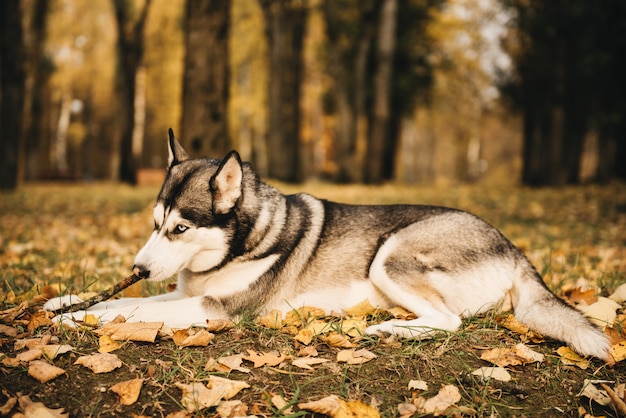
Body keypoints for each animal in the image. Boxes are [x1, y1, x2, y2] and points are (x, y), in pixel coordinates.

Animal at [45, 128, 608, 360]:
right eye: (155, 223)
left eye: (180, 229)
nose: (138, 267)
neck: (242, 244)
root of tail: (513, 247)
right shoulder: (186, 293)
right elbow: (125, 301)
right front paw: (63, 303)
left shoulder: (212, 309)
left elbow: (133, 309)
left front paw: (76, 317)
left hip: (390, 254)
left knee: (448, 321)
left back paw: (391, 329)